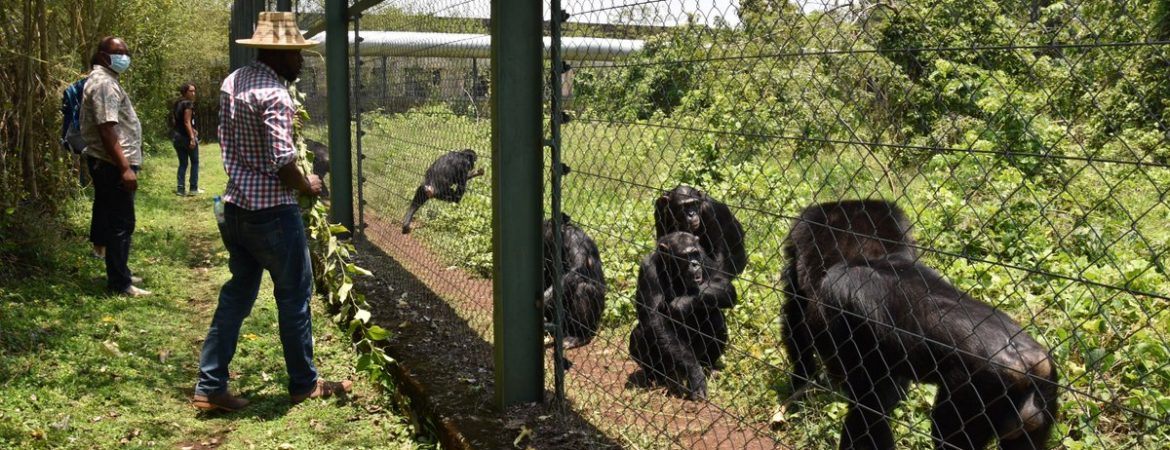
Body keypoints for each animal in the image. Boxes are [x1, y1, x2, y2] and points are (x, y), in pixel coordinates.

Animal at [631, 231, 730, 399]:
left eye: (694, 254)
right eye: (685, 256)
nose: (695, 264)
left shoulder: (704, 257)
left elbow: (724, 285)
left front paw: (682, 304)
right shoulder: (647, 269)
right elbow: (654, 319)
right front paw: (695, 374)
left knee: (716, 318)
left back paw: (708, 369)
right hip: (669, 368)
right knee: (639, 333)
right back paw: (655, 379)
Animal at [776, 201, 1062, 448]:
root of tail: (1029, 363)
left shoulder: (835, 304)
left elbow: (869, 404)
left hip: (975, 392)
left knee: (947, 436)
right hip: (1045, 388)